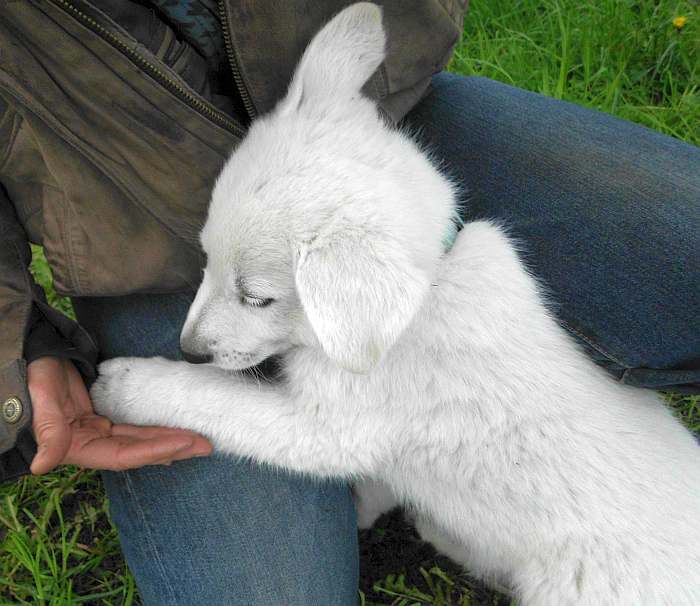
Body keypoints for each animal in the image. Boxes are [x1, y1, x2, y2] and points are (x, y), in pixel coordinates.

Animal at [90, 3, 696, 604]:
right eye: (206, 258)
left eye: (258, 298)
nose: (189, 349)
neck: (422, 299)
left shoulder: (328, 429)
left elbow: (215, 400)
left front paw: (128, 385)